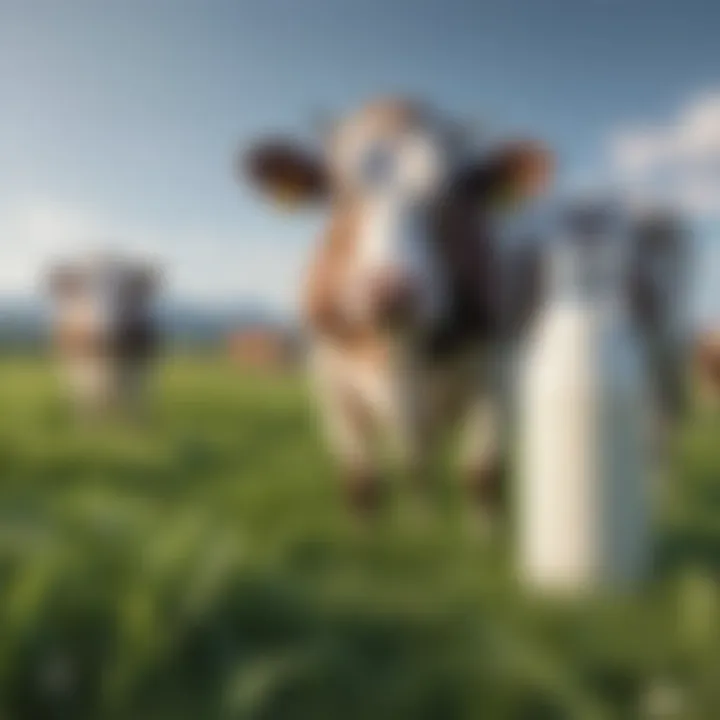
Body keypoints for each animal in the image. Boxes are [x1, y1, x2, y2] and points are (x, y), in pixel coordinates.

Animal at [46, 255, 162, 420]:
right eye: (85, 288)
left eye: (125, 289)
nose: (105, 329)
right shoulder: (83, 369)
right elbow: (87, 397)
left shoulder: (138, 367)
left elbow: (135, 401)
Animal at [236, 98, 552, 516]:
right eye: (335, 192)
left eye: (459, 192)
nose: (391, 292)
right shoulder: (331, 383)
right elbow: (362, 483)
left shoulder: (497, 376)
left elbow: (481, 477)